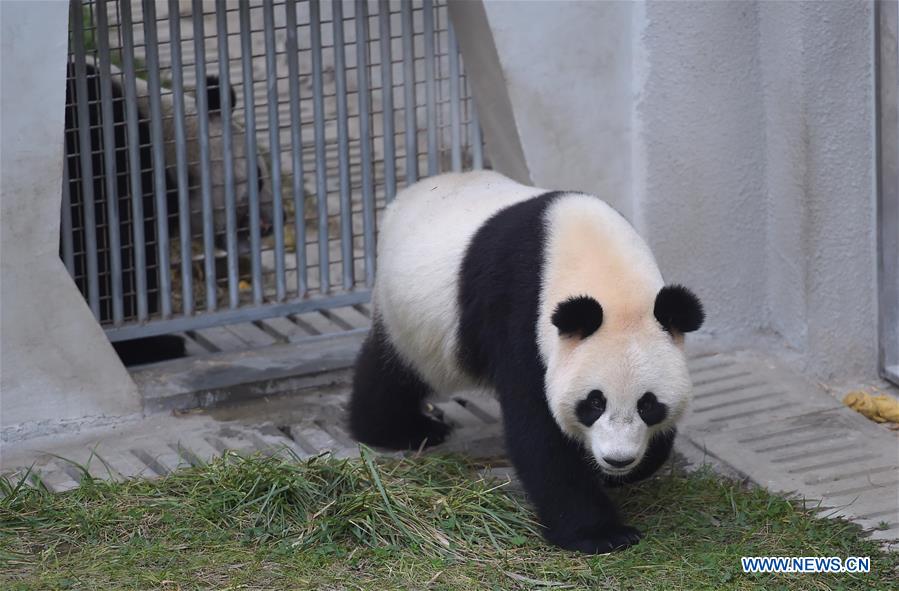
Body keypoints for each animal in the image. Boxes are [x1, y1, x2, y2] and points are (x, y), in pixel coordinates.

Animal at [348, 170, 704, 554]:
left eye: (648, 405)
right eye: (594, 402)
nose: (617, 459)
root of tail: (407, 195)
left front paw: (624, 470)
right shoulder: (521, 315)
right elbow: (539, 432)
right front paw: (600, 533)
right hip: (412, 319)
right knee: (393, 372)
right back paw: (402, 429)